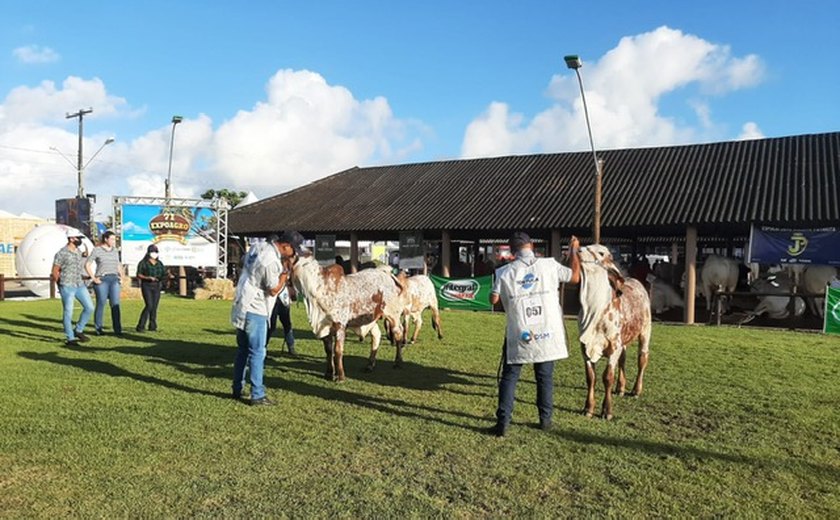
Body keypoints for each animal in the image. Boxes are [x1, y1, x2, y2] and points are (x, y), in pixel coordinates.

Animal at [580, 246, 652, 420]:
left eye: (601, 253)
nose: (578, 250)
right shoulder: (585, 349)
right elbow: (590, 378)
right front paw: (588, 408)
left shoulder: (613, 347)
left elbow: (607, 377)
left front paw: (607, 410)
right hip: (623, 341)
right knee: (623, 359)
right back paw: (620, 388)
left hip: (645, 331)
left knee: (642, 359)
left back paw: (636, 390)